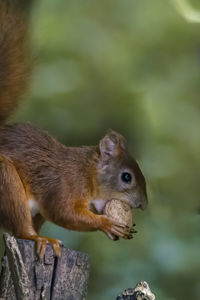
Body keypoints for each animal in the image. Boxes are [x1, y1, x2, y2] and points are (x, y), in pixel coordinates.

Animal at [0, 0, 147, 258]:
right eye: (126, 177)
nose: (143, 205)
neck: (87, 172)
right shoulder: (64, 184)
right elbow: (62, 211)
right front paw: (107, 224)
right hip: (4, 179)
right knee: (20, 229)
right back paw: (38, 238)